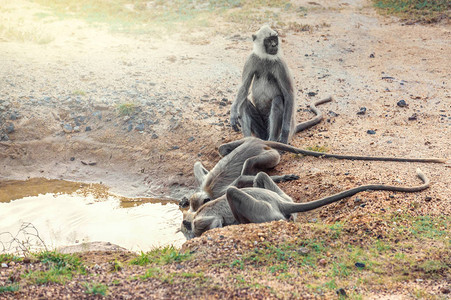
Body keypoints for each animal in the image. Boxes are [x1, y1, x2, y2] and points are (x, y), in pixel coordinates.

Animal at [181, 169, 430, 239]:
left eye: (186, 227)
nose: (187, 231)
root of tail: (281, 203)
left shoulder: (203, 220)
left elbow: (214, 223)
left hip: (263, 211)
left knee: (234, 192)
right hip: (280, 196)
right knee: (260, 175)